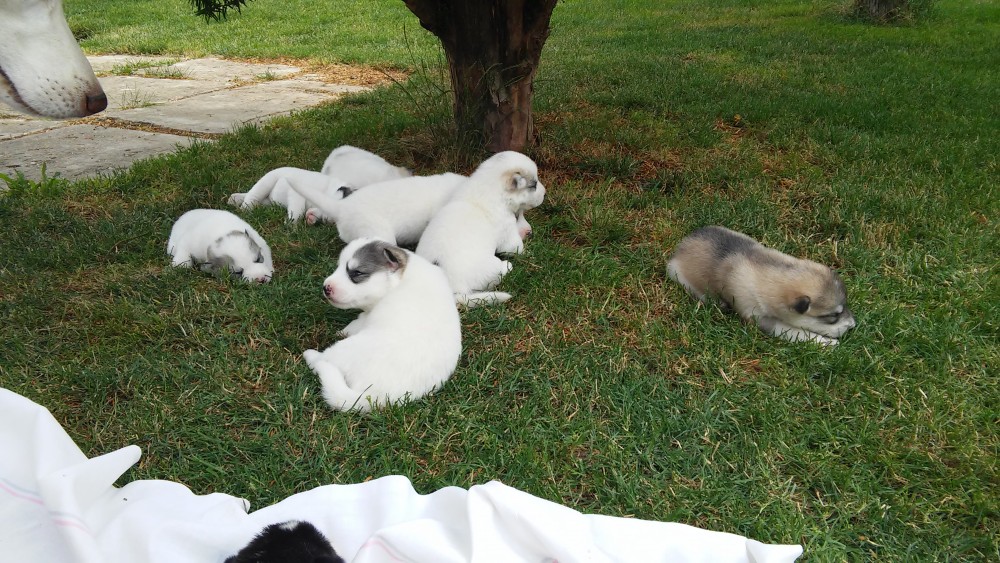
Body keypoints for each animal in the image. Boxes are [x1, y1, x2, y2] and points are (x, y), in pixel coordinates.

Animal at [302, 238, 462, 412]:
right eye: (338, 266)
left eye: (356, 273)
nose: (326, 287)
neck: (400, 281)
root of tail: (377, 396)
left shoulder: (368, 316)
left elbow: (358, 321)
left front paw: (345, 330)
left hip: (345, 350)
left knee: (323, 360)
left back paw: (311, 356)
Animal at [416, 151, 545, 307]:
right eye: (534, 185)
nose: (545, 193)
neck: (488, 188)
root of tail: (453, 291)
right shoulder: (508, 234)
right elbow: (517, 247)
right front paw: (530, 253)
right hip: (491, 268)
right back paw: (507, 265)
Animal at [667, 226, 856, 345]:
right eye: (833, 315)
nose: (853, 326)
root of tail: (682, 243)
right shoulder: (760, 319)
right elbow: (796, 332)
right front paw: (826, 343)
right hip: (677, 274)